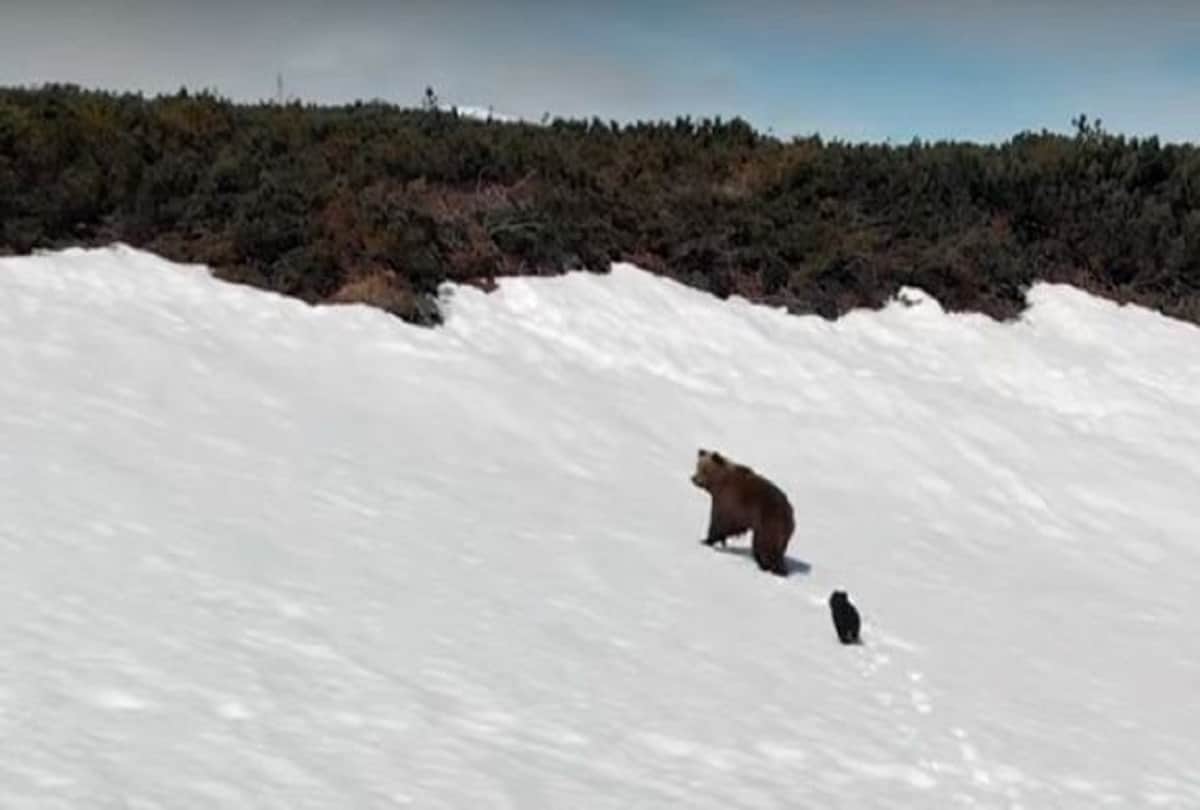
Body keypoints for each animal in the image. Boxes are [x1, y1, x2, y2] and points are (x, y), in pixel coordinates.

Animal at [690, 448, 795, 576]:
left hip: (768, 522)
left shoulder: (728, 502)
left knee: (764, 545)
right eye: (697, 466)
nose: (694, 479)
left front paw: (707, 540)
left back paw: (766, 566)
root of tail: (788, 511)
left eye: (704, 469)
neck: (719, 483)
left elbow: (720, 522)